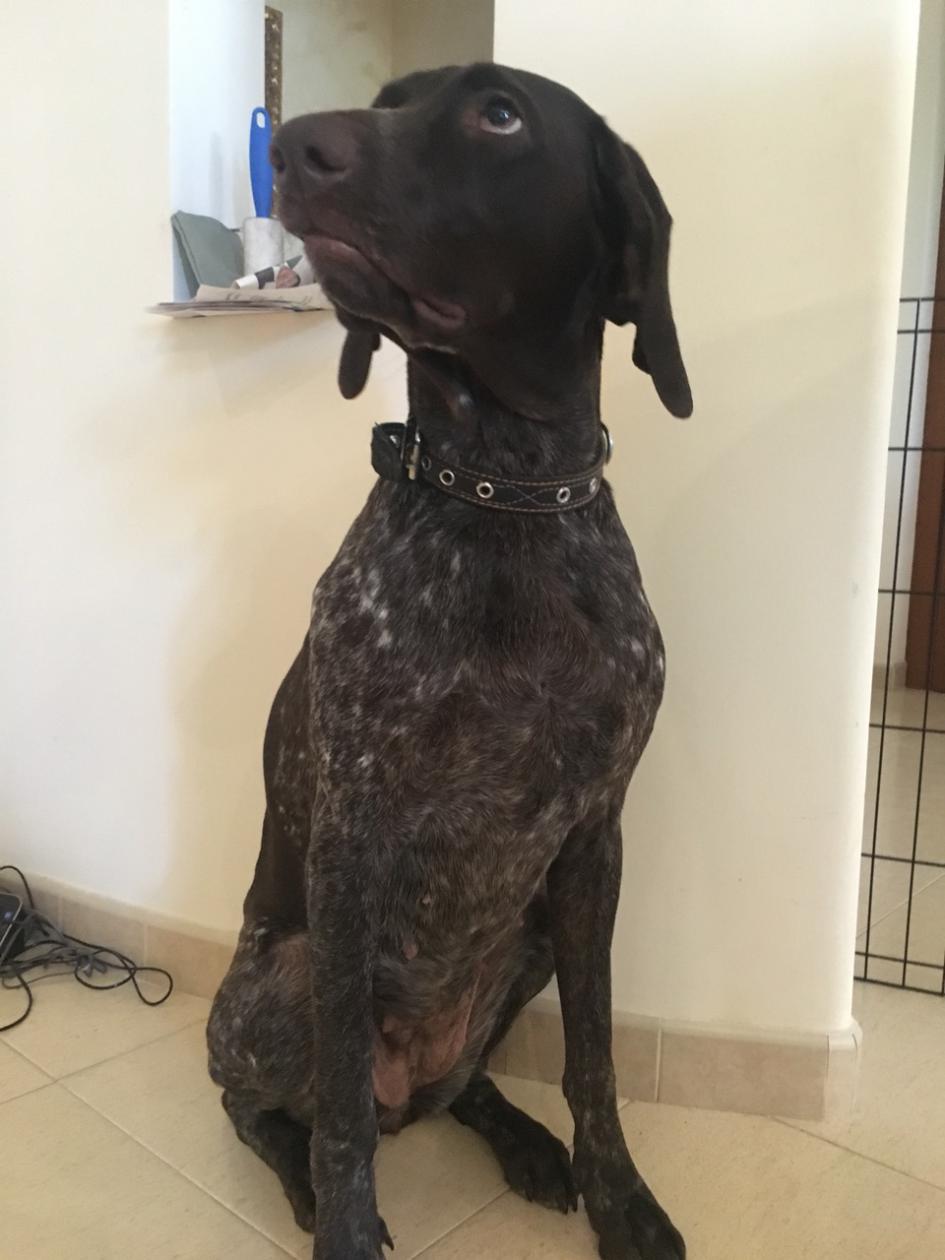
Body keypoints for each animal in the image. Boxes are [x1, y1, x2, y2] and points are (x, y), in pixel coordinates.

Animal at [207, 61, 691, 1260]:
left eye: (499, 114)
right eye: (385, 102)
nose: (287, 145)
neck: (502, 492)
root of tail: (411, 1080)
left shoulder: (595, 843)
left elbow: (596, 1062)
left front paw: (620, 1201)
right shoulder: (349, 842)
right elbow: (338, 1123)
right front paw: (341, 1226)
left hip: (525, 941)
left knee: (463, 1083)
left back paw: (519, 1140)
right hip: (280, 980)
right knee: (268, 1107)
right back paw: (300, 1180)